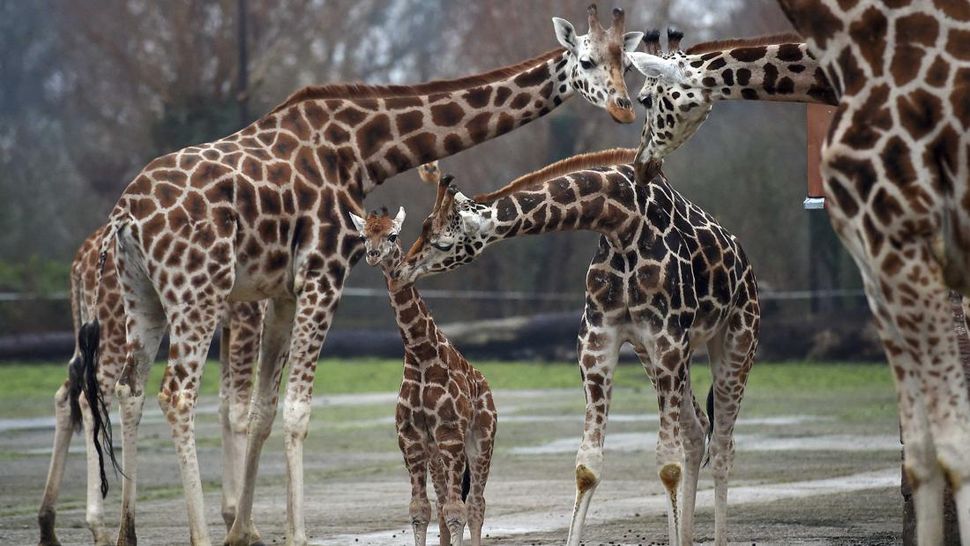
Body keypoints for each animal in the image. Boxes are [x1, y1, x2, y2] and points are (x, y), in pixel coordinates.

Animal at [35, 224, 262, 544]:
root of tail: (79, 263)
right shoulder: (249, 314)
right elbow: (239, 413)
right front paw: (248, 527)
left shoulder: (229, 326)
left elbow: (224, 406)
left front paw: (232, 516)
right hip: (114, 328)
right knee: (90, 398)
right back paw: (98, 527)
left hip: (90, 330)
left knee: (66, 394)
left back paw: (48, 525)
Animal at [350, 203, 500, 544]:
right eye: (364, 236)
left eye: (393, 235)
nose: (374, 254)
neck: (420, 354)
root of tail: (485, 384)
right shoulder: (412, 437)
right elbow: (420, 509)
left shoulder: (450, 433)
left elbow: (457, 510)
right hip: (436, 454)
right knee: (445, 501)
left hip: (481, 439)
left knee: (476, 503)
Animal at [394, 147, 756, 540]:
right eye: (423, 228)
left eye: (443, 243)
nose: (402, 268)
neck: (621, 221)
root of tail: (746, 264)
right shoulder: (599, 339)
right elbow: (588, 464)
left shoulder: (667, 337)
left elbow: (667, 463)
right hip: (655, 355)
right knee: (696, 431)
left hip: (735, 339)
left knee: (721, 448)